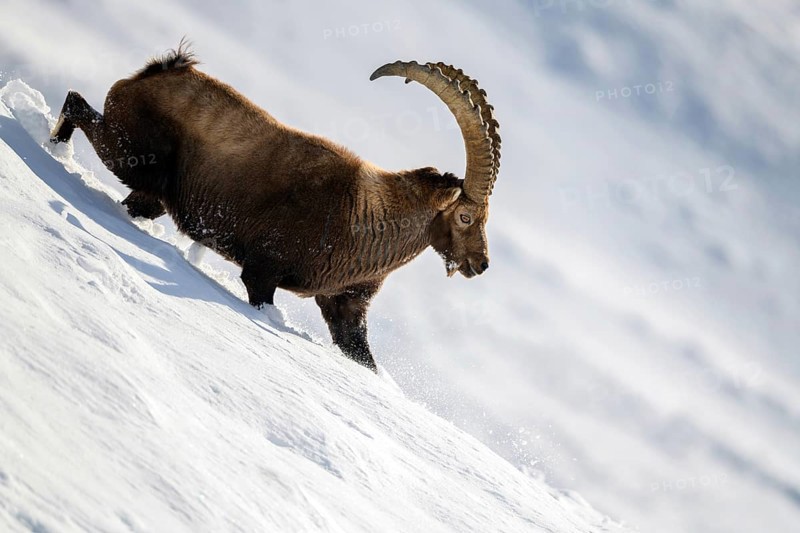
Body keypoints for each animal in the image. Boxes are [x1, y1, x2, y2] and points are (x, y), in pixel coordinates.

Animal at [50, 43, 501, 371]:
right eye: (465, 216)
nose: (481, 265)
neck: (367, 217)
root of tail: (165, 67)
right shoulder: (262, 272)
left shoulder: (345, 307)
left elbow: (364, 359)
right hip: (130, 153)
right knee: (75, 103)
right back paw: (54, 148)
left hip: (153, 196)